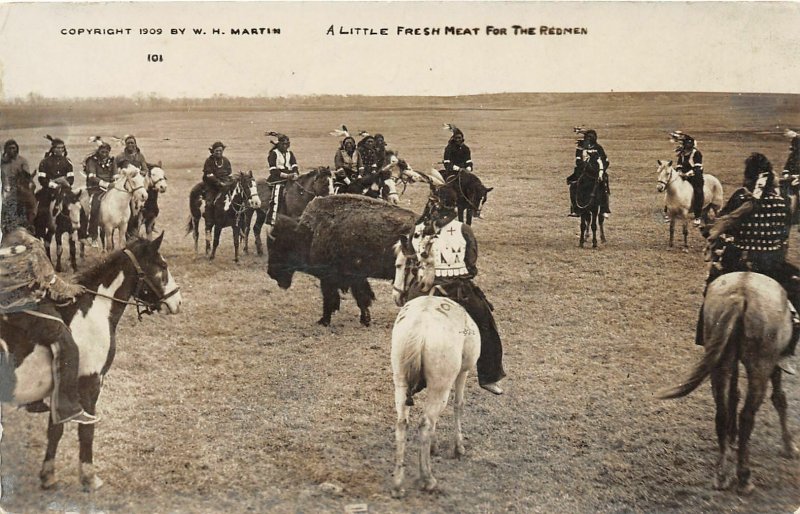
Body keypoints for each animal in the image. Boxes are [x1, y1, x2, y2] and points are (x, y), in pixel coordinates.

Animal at [0, 232, 183, 488]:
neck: (92, 312)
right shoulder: (90, 382)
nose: (178, 302)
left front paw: (48, 474)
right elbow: (86, 431)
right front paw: (88, 475)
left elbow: (55, 429)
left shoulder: (62, 391)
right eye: (163, 266)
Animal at [268, 192, 418, 324]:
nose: (271, 273)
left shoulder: (329, 278)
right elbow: (361, 298)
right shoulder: (355, 278)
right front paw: (365, 320)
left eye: (279, 248)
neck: (310, 233)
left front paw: (324, 321)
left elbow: (331, 299)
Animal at [390, 232, 478, 496]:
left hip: (400, 380)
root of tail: (420, 329)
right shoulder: (462, 373)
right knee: (425, 423)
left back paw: (398, 482)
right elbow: (459, 404)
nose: (396, 295)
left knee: (403, 422)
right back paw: (427, 478)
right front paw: (457, 447)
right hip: (441, 385)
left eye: (399, 264)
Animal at [660, 272, 796, 492]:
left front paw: (733, 437)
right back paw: (744, 477)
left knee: (722, 412)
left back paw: (722, 473)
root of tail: (740, 295)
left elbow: (734, 394)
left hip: (720, 362)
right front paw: (789, 446)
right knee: (747, 415)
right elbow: (779, 398)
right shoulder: (774, 364)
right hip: (759, 366)